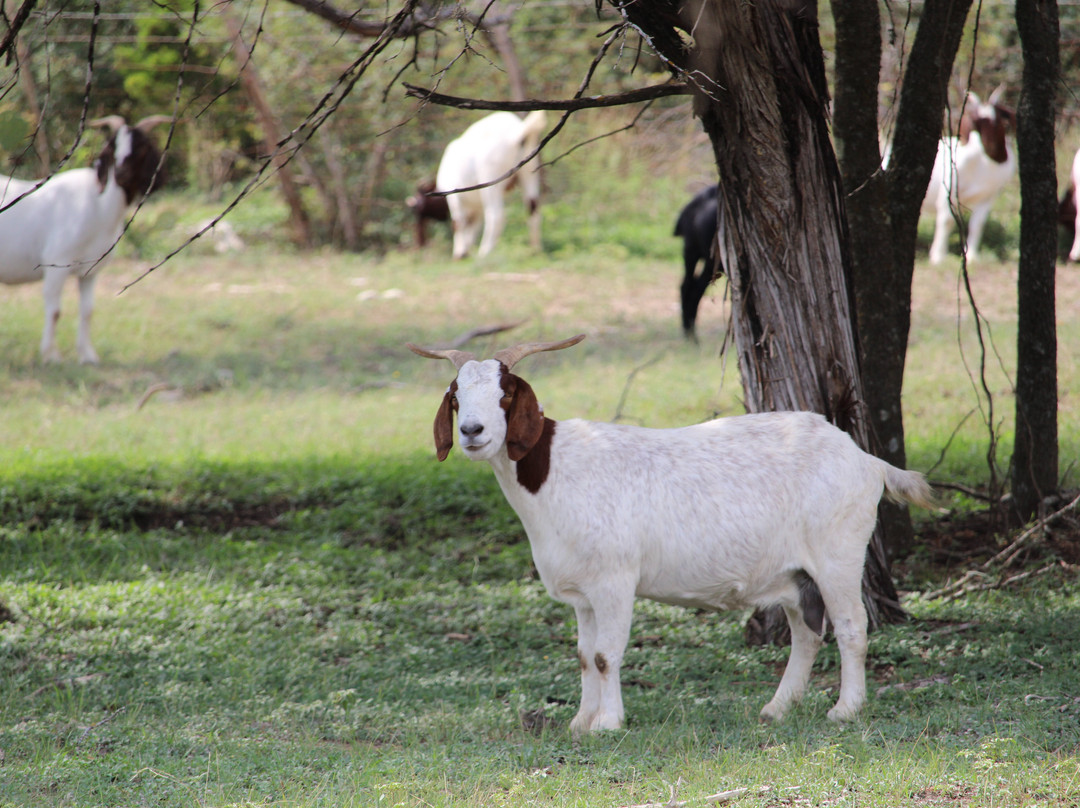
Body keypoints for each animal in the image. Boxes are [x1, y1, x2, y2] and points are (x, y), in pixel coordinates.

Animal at [432, 111, 544, 259]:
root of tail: (517, 132)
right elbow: (473, 225)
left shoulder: (453, 197)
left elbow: (458, 223)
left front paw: (460, 253)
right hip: (529, 171)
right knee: (533, 210)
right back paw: (535, 251)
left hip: (490, 177)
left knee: (496, 215)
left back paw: (484, 252)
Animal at [924, 88, 1015, 264]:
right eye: (977, 120)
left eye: (998, 119)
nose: (992, 147)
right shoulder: (948, 193)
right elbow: (946, 221)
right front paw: (938, 256)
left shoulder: (989, 196)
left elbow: (977, 224)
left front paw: (971, 256)